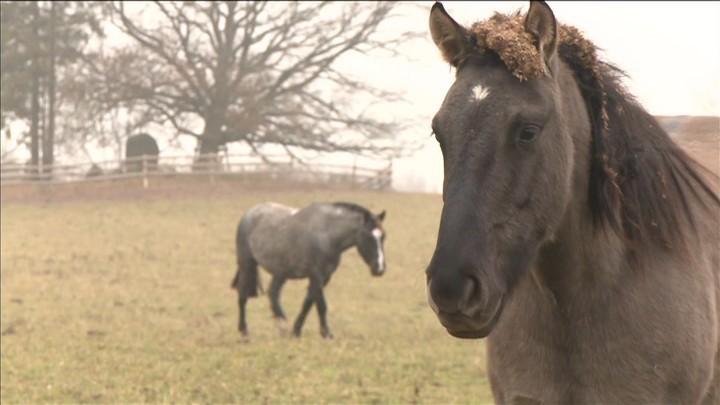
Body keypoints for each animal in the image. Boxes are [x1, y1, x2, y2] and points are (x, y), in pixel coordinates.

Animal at [232, 201, 388, 338]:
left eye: (384, 236)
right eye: (368, 236)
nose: (379, 269)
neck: (327, 235)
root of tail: (249, 214)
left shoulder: (325, 277)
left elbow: (308, 302)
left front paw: (296, 331)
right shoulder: (316, 275)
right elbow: (321, 305)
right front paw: (326, 333)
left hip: (280, 272)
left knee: (273, 294)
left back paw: (283, 326)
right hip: (247, 264)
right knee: (242, 297)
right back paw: (244, 332)